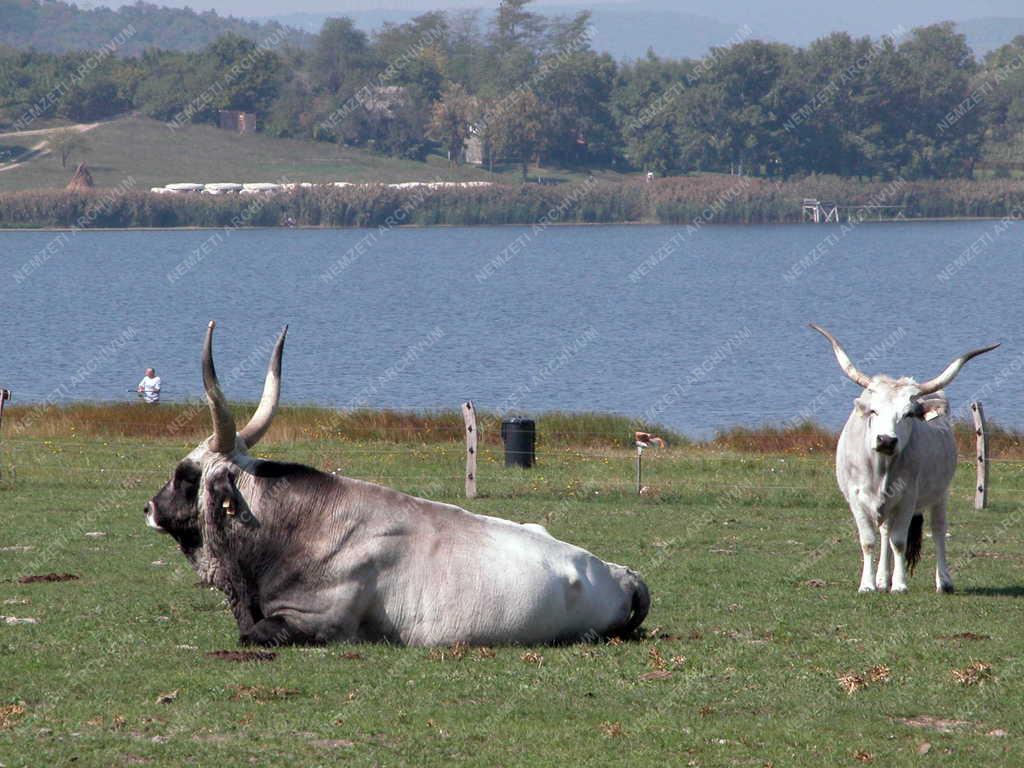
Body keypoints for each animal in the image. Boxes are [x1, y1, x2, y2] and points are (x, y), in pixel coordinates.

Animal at [144, 321, 647, 647]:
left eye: (185, 474)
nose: (149, 507)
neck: (289, 532)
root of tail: (622, 573)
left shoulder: (317, 623)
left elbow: (251, 635)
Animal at [811, 325, 995, 593]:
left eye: (908, 414)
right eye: (873, 410)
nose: (886, 440)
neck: (880, 469)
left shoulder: (908, 497)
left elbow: (899, 541)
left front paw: (899, 585)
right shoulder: (855, 498)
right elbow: (868, 540)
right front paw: (868, 585)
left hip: (940, 493)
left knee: (938, 530)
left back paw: (944, 581)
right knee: (885, 530)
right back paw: (881, 578)